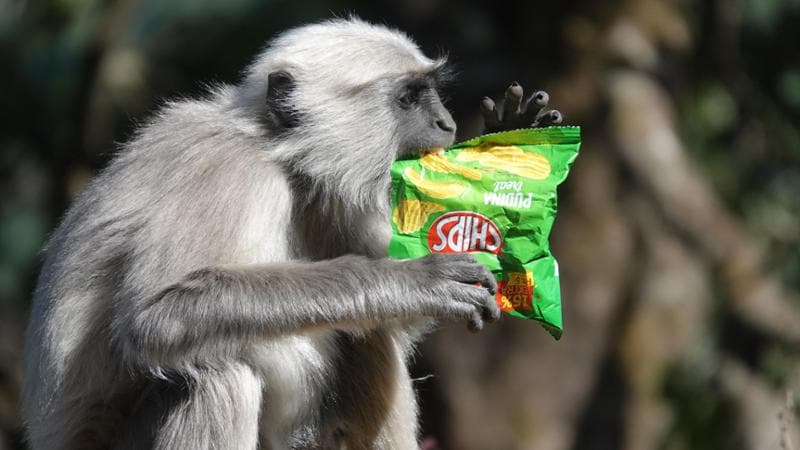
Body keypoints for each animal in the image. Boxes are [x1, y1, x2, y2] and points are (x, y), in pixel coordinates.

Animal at [21, 18, 562, 450]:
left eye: (430, 95)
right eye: (409, 99)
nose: (446, 123)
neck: (274, 149)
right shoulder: (226, 172)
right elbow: (156, 316)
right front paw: (414, 280)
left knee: (371, 336)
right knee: (218, 374)